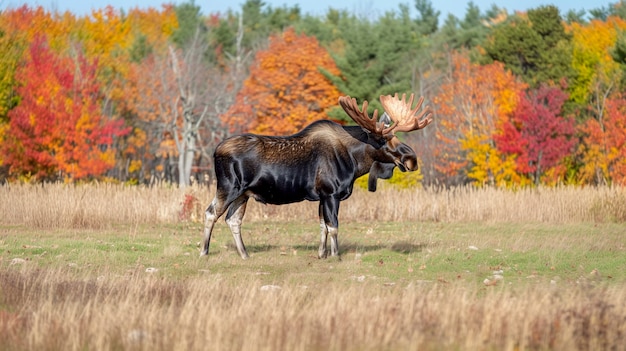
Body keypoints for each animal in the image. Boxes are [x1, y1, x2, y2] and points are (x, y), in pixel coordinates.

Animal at [200, 93, 428, 258]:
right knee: (211, 212)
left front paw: (321, 255)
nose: (411, 159)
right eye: (383, 140)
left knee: (233, 219)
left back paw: (245, 254)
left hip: (244, 194)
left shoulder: (321, 196)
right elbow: (333, 226)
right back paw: (204, 252)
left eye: (396, 136)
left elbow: (322, 227)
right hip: (229, 187)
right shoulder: (331, 193)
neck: (355, 162)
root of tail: (215, 151)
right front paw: (335, 256)